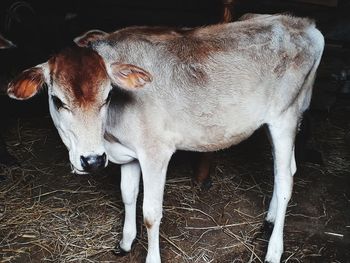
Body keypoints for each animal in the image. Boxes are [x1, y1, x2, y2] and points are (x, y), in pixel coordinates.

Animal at [8, 14, 324, 263]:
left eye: (108, 95)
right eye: (57, 100)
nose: (93, 160)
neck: (110, 135)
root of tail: (303, 24)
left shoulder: (155, 153)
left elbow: (150, 212)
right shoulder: (128, 154)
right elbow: (127, 195)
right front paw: (125, 242)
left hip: (285, 118)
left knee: (285, 181)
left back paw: (274, 250)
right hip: (273, 122)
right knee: (287, 170)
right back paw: (269, 220)